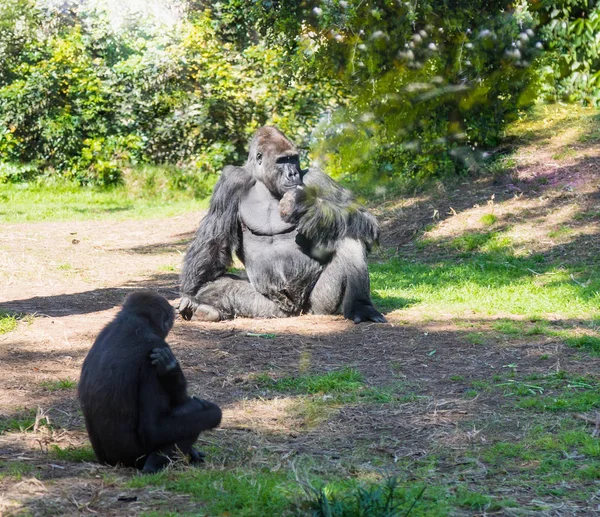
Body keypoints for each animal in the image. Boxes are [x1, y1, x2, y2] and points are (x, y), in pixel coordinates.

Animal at [77, 290, 221, 472]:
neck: (133, 321)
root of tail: (112, 463)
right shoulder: (153, 356)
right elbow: (153, 429)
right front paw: (214, 412)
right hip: (134, 459)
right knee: (189, 414)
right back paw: (153, 464)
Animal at [178, 126, 386, 322]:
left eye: (293, 159)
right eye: (281, 160)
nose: (293, 173)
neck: (264, 183)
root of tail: (297, 311)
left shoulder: (316, 178)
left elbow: (364, 217)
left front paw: (304, 206)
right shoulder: (231, 181)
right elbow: (215, 239)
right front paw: (193, 290)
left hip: (319, 305)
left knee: (350, 233)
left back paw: (361, 307)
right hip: (269, 308)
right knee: (225, 288)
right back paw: (202, 309)